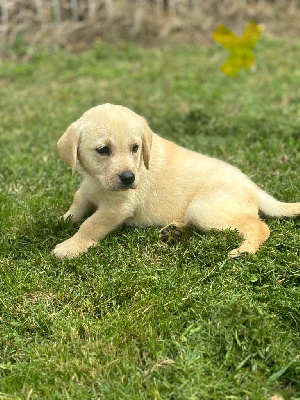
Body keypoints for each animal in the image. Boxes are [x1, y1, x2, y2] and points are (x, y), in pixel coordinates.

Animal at [52, 104, 298, 260]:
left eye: (135, 147)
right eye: (103, 150)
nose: (129, 178)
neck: (97, 181)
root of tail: (254, 188)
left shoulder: (117, 207)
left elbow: (90, 225)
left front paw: (70, 247)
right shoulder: (89, 186)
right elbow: (79, 199)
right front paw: (65, 217)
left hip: (204, 209)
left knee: (259, 226)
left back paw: (245, 249)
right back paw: (175, 231)